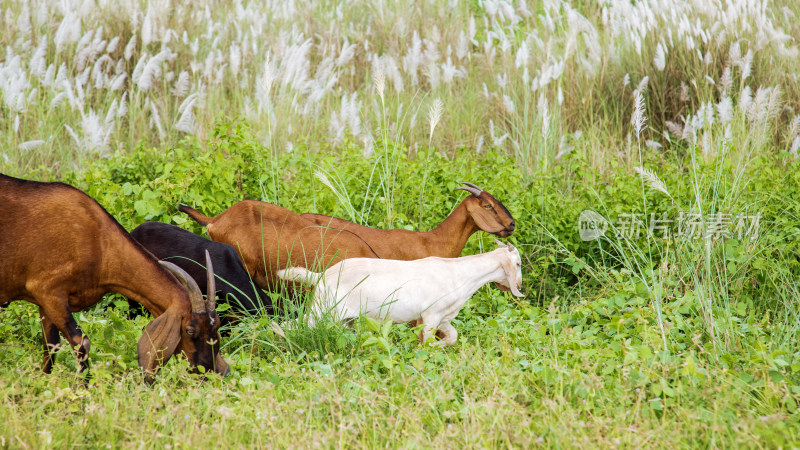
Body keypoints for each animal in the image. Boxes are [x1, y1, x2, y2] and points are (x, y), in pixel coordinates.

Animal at [0, 174, 230, 382]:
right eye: (190, 330)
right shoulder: (49, 292)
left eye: (217, 325)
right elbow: (81, 343)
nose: (211, 371)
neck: (100, 241)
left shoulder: (45, 302)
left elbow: (51, 346)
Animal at [276, 241, 524, 346]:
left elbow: (452, 337)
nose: (520, 285)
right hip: (322, 311)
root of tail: (320, 276)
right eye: (519, 263)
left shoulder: (442, 316)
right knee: (288, 326)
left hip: (343, 318)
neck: (460, 273)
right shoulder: (431, 315)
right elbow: (426, 342)